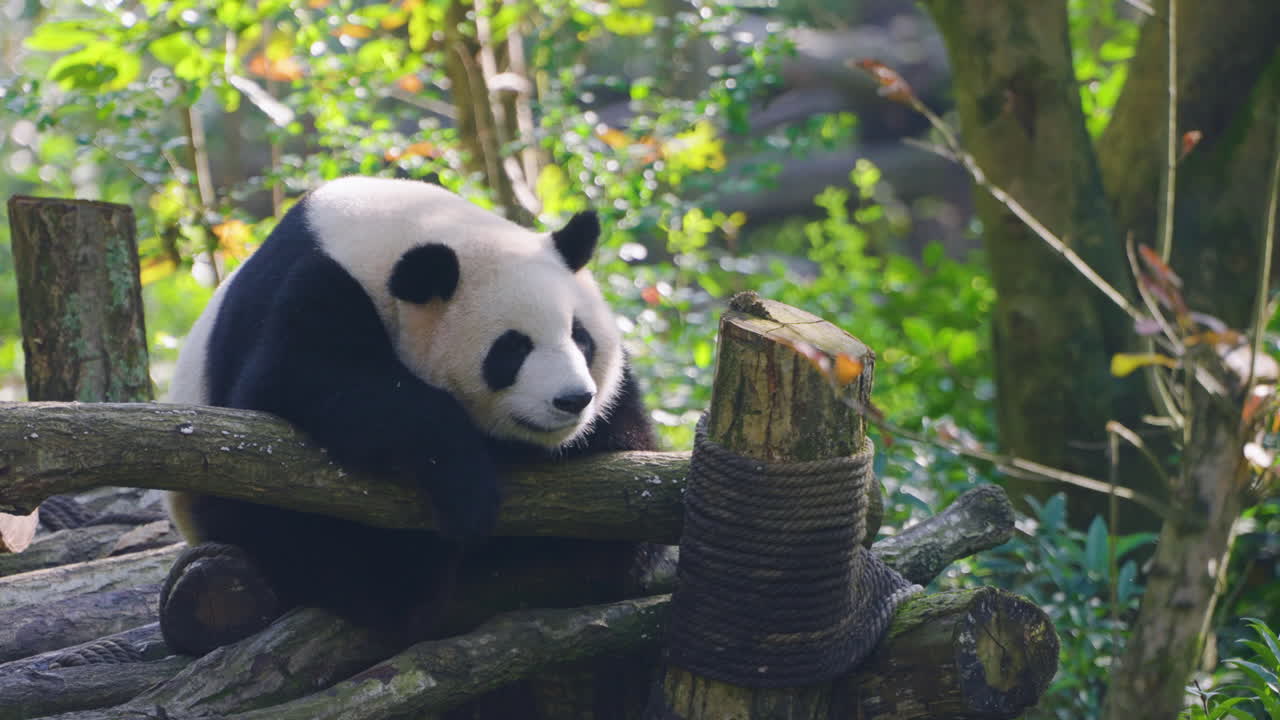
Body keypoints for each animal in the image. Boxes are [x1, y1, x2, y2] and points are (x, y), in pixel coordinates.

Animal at [162, 176, 656, 655]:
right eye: (512, 349)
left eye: (580, 337)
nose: (573, 400)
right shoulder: (314, 285)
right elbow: (297, 382)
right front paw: (467, 490)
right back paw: (400, 578)